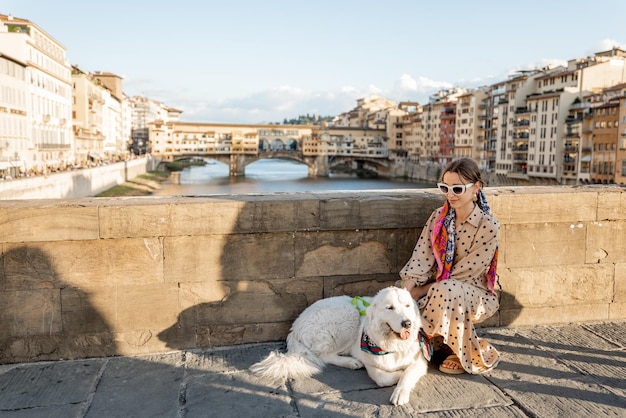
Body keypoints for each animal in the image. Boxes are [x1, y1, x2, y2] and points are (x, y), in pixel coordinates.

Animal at [249, 288, 428, 404]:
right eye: (389, 308)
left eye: (407, 306)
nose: (407, 323)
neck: (392, 343)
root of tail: (295, 327)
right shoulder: (371, 363)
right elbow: (383, 378)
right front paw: (398, 374)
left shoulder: (420, 361)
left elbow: (408, 373)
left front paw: (400, 391)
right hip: (349, 318)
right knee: (325, 356)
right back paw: (351, 362)